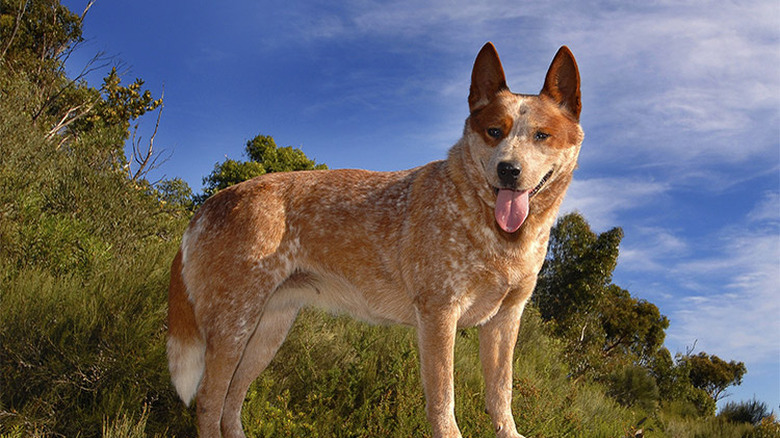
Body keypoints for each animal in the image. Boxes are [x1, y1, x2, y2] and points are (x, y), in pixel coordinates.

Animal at [168, 42, 580, 438]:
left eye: (541, 135)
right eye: (494, 131)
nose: (508, 170)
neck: (498, 236)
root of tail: (208, 205)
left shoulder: (505, 319)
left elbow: (501, 395)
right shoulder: (438, 314)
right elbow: (443, 403)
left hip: (267, 331)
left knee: (231, 403)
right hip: (232, 327)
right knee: (208, 403)